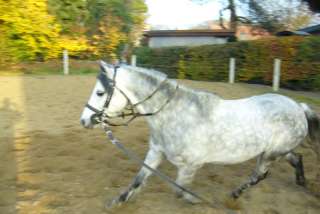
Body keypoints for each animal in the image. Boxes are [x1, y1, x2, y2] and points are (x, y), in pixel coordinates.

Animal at [79, 61, 318, 206]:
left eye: (100, 92)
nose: (84, 120)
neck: (176, 115)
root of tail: (299, 107)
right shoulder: (156, 153)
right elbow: (138, 180)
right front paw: (117, 202)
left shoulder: (190, 166)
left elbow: (180, 192)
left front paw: (194, 201)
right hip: (279, 150)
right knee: (297, 158)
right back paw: (302, 182)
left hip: (270, 154)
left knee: (260, 175)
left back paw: (234, 195)